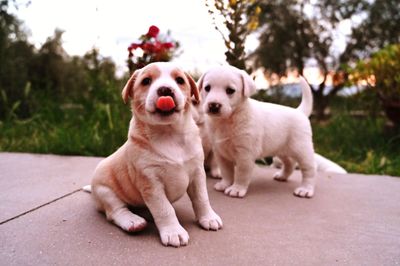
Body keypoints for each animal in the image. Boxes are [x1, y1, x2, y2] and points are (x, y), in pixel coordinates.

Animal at [90, 61, 222, 247]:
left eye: (180, 80)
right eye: (146, 81)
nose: (165, 89)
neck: (169, 134)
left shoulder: (197, 173)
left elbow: (202, 198)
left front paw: (208, 218)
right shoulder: (151, 183)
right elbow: (164, 209)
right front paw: (173, 231)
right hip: (105, 192)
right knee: (115, 211)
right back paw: (133, 221)